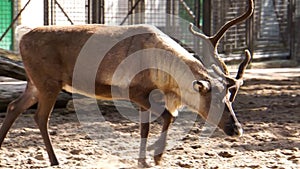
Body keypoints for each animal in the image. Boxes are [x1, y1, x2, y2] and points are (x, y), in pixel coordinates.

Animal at [0, 0, 253, 166]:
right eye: (214, 100)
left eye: (230, 98)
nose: (237, 129)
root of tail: (22, 35)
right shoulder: (136, 92)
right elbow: (168, 117)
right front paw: (155, 155)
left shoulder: (147, 97)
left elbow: (147, 126)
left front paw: (145, 157)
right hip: (48, 83)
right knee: (40, 116)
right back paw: (54, 160)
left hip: (34, 83)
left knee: (13, 106)